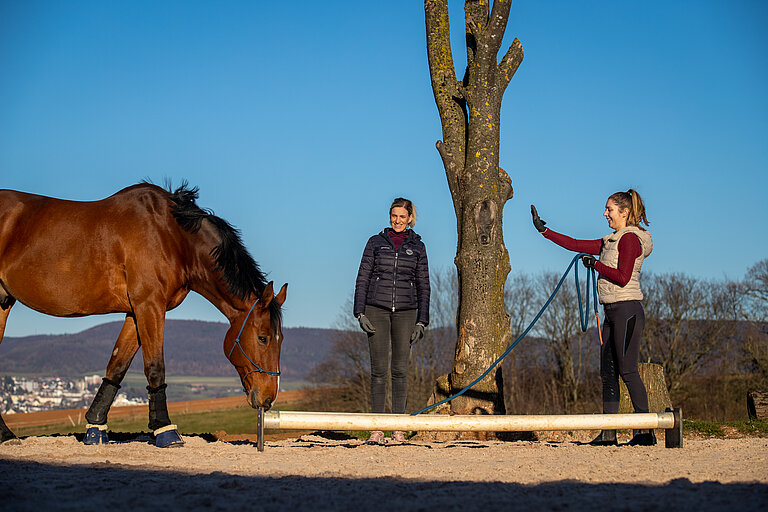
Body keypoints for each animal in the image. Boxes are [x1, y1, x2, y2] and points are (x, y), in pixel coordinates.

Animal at [0, 183, 286, 444]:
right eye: (262, 338)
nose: (268, 397)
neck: (171, 236)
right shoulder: (149, 305)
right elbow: (155, 366)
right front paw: (165, 430)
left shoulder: (135, 312)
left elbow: (117, 365)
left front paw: (96, 429)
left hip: (3, 301)